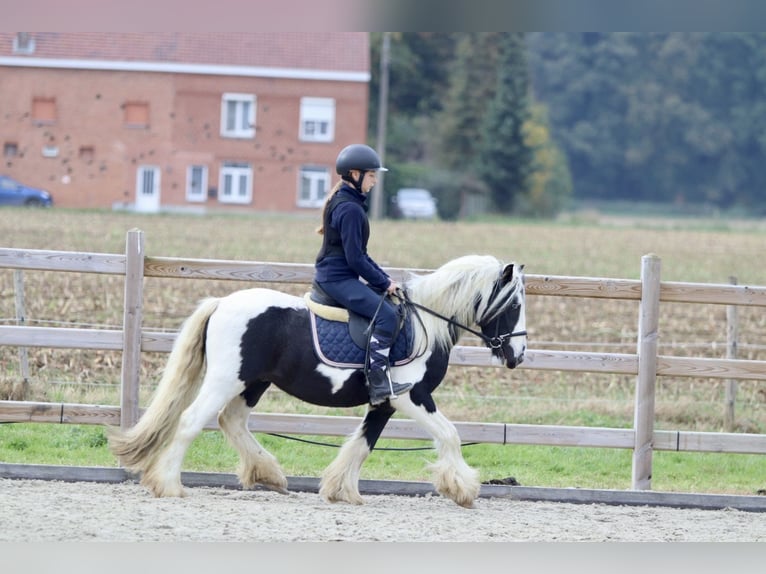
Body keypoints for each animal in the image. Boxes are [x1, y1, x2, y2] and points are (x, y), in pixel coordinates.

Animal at [109, 254, 528, 510]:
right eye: (514, 304)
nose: (518, 356)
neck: (426, 323)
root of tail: (222, 303)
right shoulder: (412, 396)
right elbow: (450, 435)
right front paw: (462, 489)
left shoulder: (385, 402)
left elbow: (362, 444)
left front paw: (341, 490)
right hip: (226, 380)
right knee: (191, 422)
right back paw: (169, 484)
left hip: (253, 383)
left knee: (233, 421)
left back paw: (268, 473)